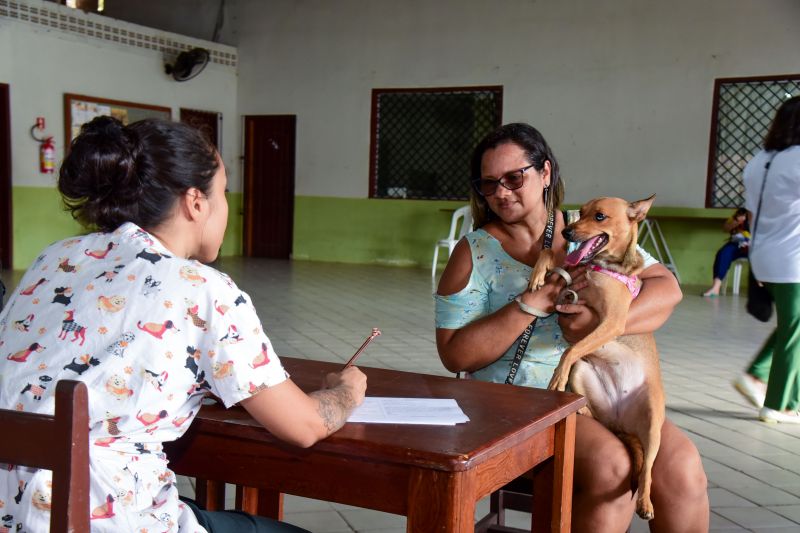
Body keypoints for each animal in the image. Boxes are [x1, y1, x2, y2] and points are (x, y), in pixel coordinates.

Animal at [532, 195, 664, 520]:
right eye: (581, 212)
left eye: (600, 216)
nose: (566, 232)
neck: (601, 266)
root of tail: (621, 421)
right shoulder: (570, 279)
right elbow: (548, 252)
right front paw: (538, 273)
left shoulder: (612, 322)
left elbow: (570, 350)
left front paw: (556, 377)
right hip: (584, 374)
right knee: (593, 411)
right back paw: (580, 408)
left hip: (653, 422)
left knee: (648, 469)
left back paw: (645, 503)